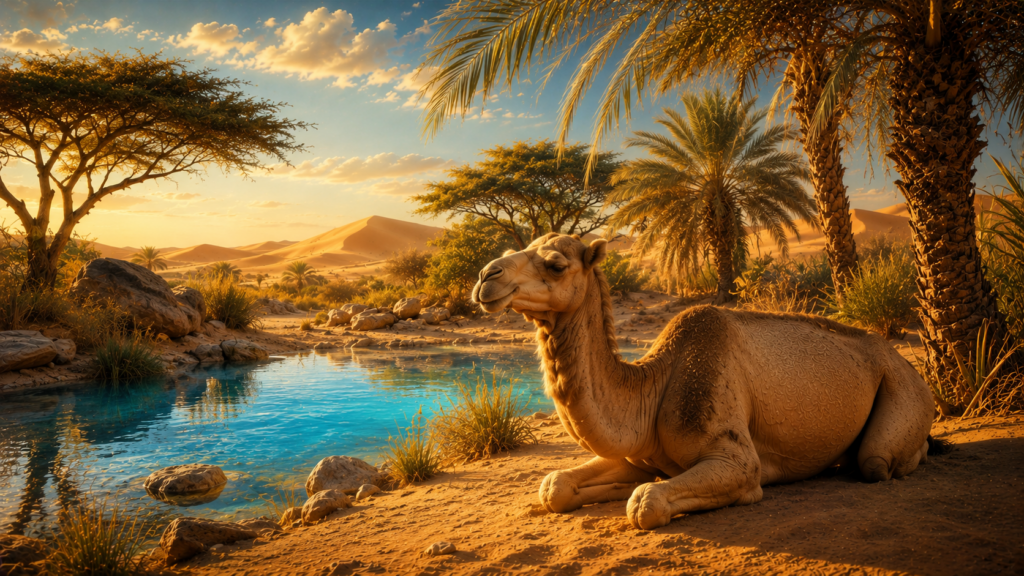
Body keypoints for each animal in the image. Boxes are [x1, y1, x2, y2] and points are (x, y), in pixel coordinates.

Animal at [472, 233, 937, 530]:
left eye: (555, 264)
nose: (486, 277)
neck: (652, 386)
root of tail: (903, 359)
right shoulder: (641, 453)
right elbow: (555, 486)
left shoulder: (739, 462)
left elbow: (646, 502)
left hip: (902, 389)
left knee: (876, 460)